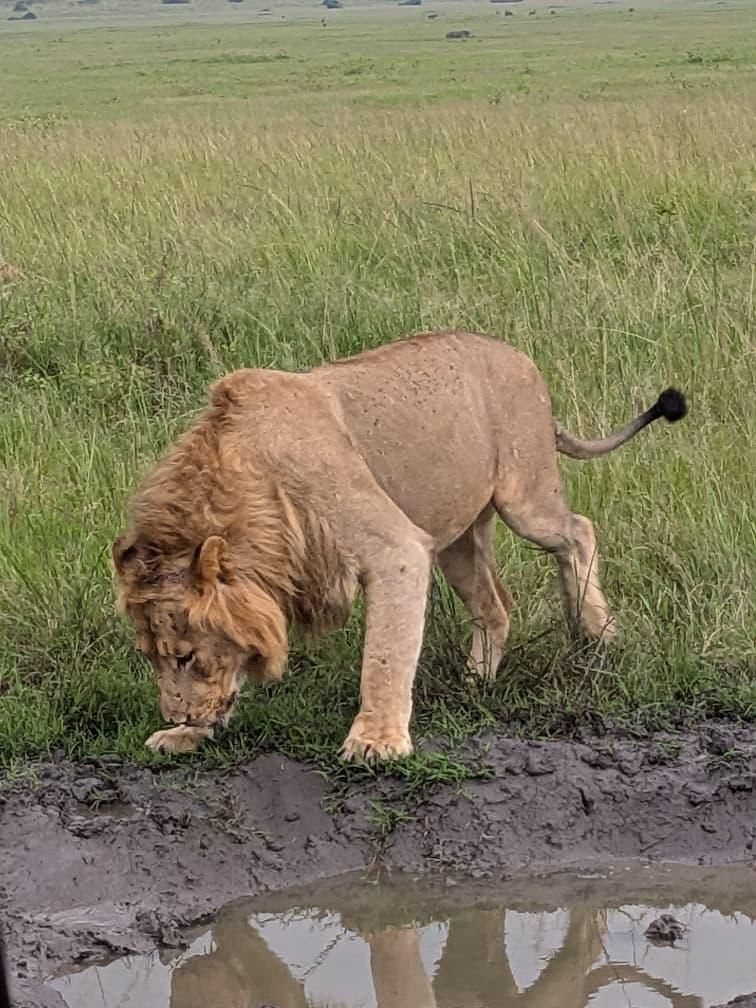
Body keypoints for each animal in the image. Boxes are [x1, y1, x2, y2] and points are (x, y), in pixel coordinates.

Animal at [112, 331, 687, 761]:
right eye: (153, 657)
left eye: (186, 656)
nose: (177, 714)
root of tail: (517, 354)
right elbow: (230, 686)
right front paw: (185, 735)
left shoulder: (397, 549)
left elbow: (385, 656)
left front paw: (376, 742)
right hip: (453, 537)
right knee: (495, 605)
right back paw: (475, 682)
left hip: (526, 499)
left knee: (579, 530)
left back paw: (597, 632)